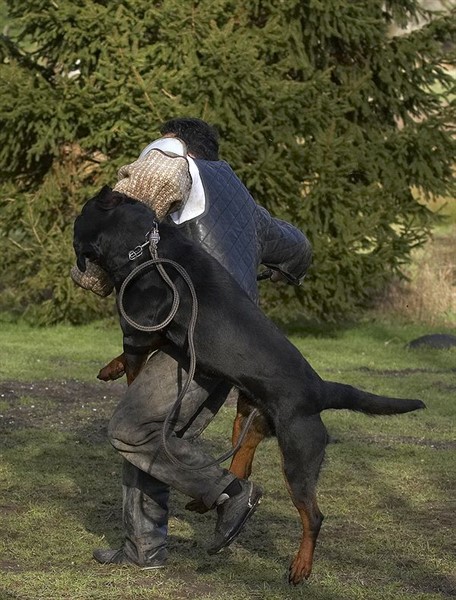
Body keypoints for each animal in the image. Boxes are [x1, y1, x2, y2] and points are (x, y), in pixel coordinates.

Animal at [73, 186, 425, 584]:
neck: (146, 246)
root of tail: (319, 389)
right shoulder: (160, 336)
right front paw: (109, 368)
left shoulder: (140, 331)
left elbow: (134, 362)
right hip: (248, 421)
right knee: (242, 469)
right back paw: (214, 504)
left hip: (299, 458)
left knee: (313, 516)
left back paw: (300, 566)